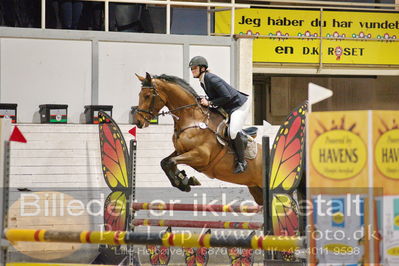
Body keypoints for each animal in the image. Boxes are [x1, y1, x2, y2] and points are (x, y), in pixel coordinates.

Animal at [134, 71, 266, 205]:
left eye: (147, 96)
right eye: (139, 94)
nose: (138, 122)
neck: (192, 118)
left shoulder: (201, 155)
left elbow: (171, 161)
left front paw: (183, 181)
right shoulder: (180, 151)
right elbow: (165, 162)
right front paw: (184, 181)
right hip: (257, 190)